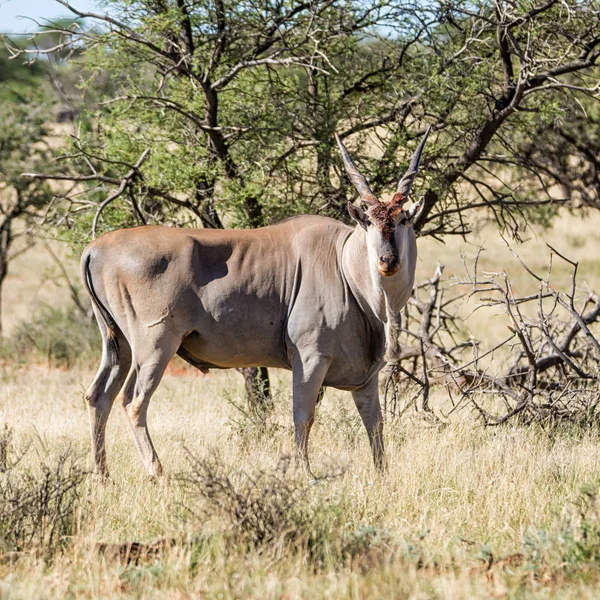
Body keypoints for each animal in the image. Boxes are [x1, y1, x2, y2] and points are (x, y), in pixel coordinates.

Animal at [82, 130, 428, 478]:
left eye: (402, 220)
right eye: (367, 222)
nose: (387, 260)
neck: (344, 265)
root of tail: (96, 247)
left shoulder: (366, 379)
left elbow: (375, 424)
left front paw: (382, 476)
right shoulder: (310, 359)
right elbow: (303, 417)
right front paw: (306, 475)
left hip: (119, 345)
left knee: (99, 395)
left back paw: (102, 475)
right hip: (155, 346)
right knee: (133, 401)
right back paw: (158, 474)